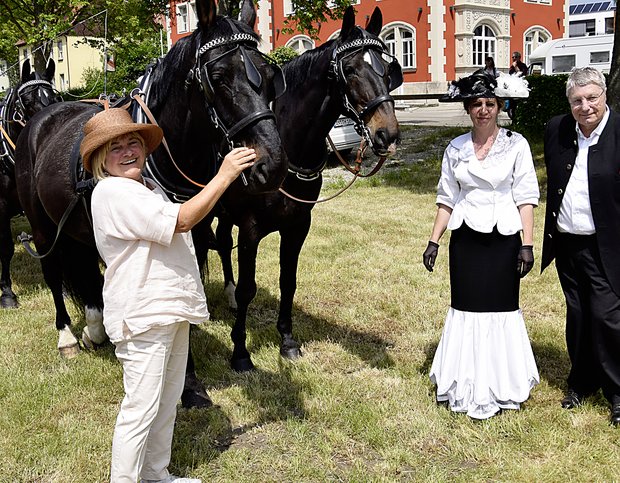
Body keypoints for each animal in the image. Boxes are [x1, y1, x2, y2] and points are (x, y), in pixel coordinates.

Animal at [12, 0, 288, 382]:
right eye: (217, 78)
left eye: (268, 76)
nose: (271, 165)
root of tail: (44, 118)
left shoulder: (195, 232)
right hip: (41, 226)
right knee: (54, 271)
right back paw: (67, 334)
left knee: (85, 269)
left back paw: (95, 325)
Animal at [208, 5, 402, 372]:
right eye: (350, 70)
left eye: (386, 70)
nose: (388, 134)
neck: (285, 147)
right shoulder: (251, 229)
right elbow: (248, 289)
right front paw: (240, 351)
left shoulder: (298, 225)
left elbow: (288, 281)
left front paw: (286, 340)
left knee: (222, 243)